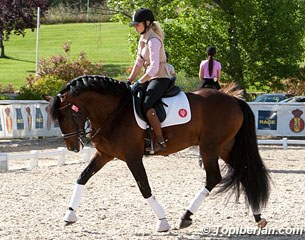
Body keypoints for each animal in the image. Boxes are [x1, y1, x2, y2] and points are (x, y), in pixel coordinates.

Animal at [42, 75, 268, 232]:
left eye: (67, 115)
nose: (72, 146)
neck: (114, 112)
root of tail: (234, 100)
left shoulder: (132, 157)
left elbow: (144, 188)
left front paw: (163, 222)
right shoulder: (104, 154)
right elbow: (82, 178)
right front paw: (69, 216)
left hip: (209, 147)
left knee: (213, 177)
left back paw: (185, 216)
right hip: (224, 147)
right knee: (244, 172)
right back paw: (258, 217)